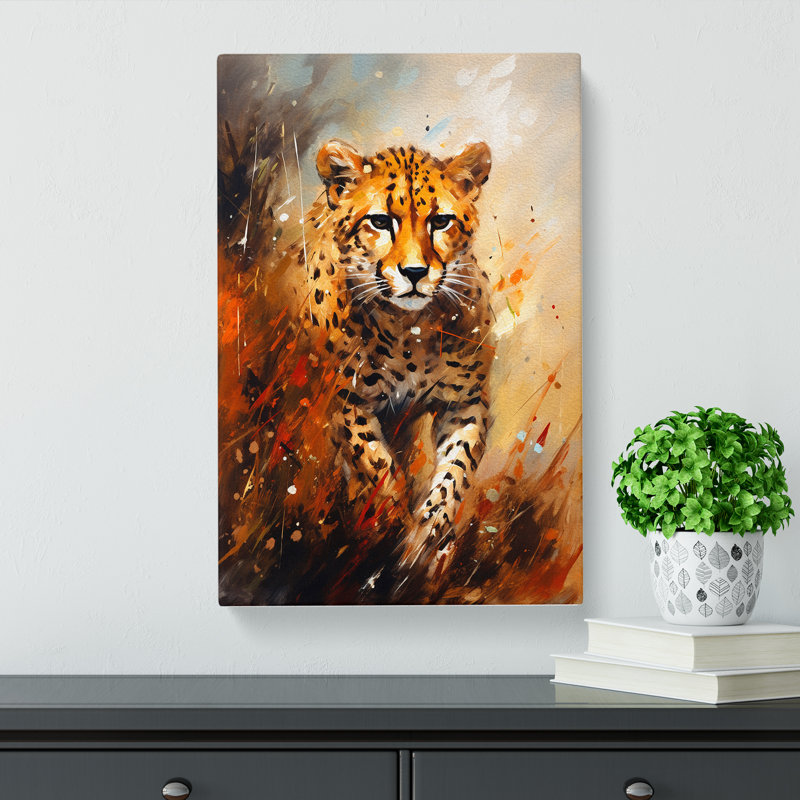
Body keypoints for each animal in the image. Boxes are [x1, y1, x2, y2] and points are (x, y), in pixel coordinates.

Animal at [292, 138, 494, 581]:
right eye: (381, 222)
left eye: (441, 221)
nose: (415, 272)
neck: (411, 329)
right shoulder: (346, 403)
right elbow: (377, 465)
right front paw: (391, 527)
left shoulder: (466, 403)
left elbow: (454, 474)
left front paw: (427, 540)